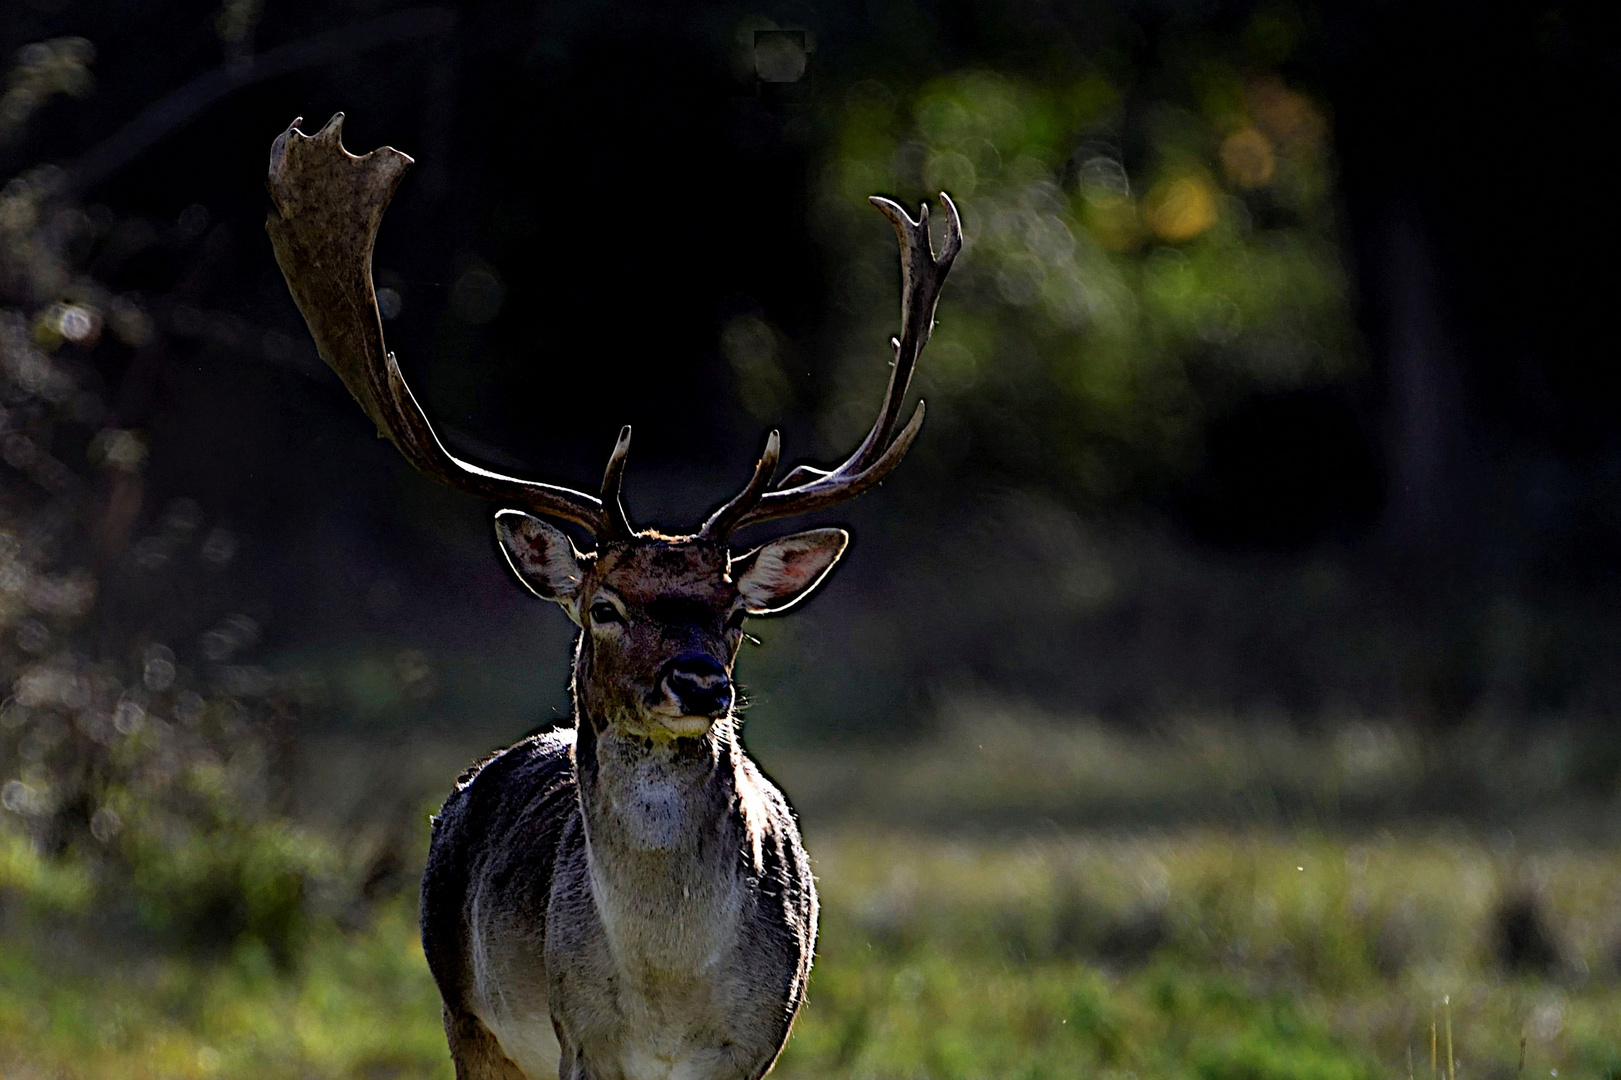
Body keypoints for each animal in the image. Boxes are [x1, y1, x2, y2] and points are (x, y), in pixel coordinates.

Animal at [259, 113, 953, 1070]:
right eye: (605, 607)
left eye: (734, 614)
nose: (700, 682)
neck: (664, 996)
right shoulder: (577, 1037)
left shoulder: (759, 1041)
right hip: (466, 1014)